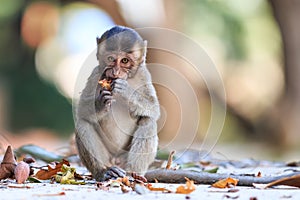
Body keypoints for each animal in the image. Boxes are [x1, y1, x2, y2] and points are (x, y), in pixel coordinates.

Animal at [74, 25, 159, 180]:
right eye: (111, 59)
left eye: (124, 61)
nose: (115, 72)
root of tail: (116, 160)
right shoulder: (96, 73)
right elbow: (82, 109)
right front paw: (100, 104)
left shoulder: (144, 74)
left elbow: (154, 109)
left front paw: (126, 91)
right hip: (108, 157)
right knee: (83, 123)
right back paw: (103, 172)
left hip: (124, 158)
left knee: (148, 121)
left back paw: (133, 174)